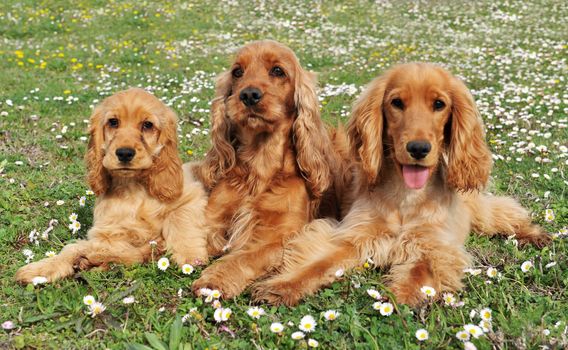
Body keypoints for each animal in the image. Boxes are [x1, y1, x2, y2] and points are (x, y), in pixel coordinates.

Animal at [15, 89, 209, 284]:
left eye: (147, 125)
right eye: (113, 122)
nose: (124, 153)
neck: (134, 188)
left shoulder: (190, 195)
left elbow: (179, 219)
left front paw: (190, 256)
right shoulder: (109, 233)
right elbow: (73, 248)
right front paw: (40, 269)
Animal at [193, 40, 348, 298]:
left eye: (278, 71)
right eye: (237, 72)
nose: (248, 95)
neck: (259, 164)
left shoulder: (282, 236)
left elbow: (245, 255)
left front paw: (215, 279)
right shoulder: (213, 218)